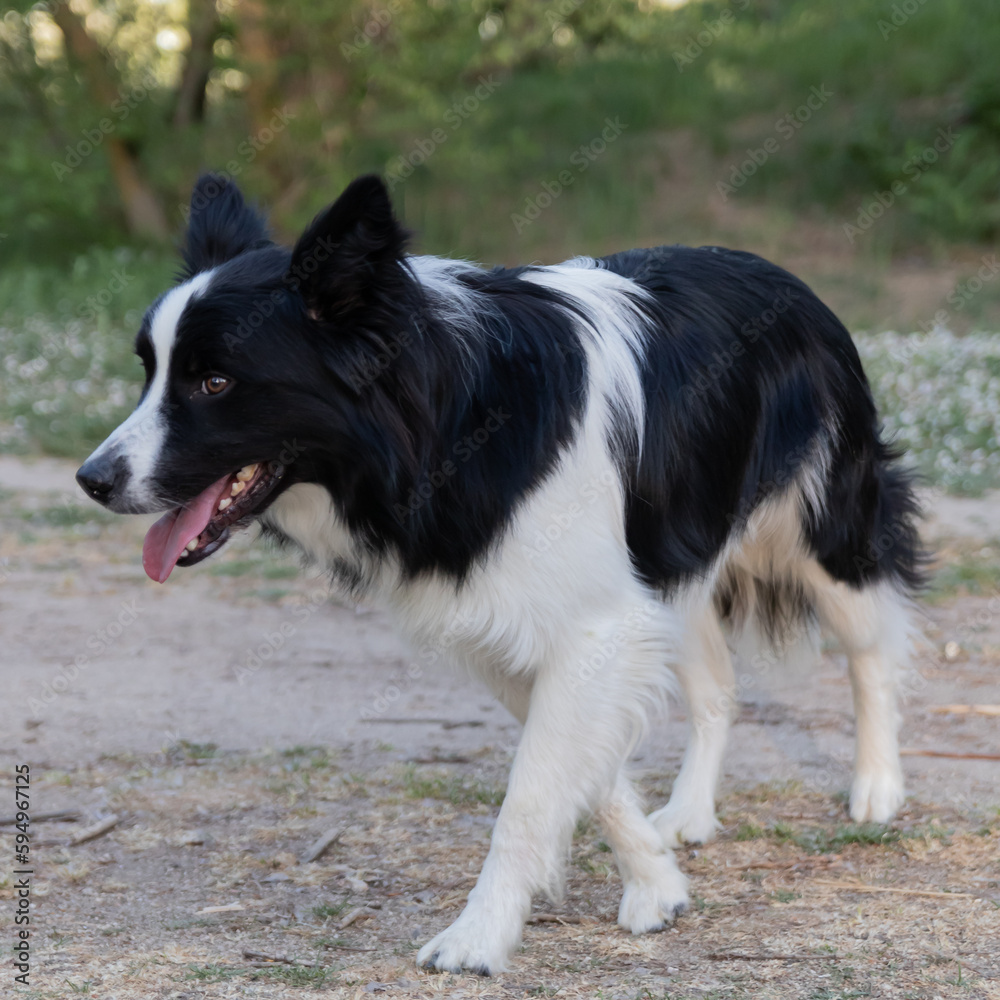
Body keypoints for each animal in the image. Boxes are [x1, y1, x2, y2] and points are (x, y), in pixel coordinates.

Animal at [76, 176, 920, 972]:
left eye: (215, 383)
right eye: (149, 372)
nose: (92, 479)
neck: (449, 416)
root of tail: (783, 276)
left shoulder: (592, 628)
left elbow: (531, 798)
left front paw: (478, 939)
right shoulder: (532, 630)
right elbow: (592, 774)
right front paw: (657, 882)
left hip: (823, 531)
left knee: (872, 646)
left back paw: (878, 787)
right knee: (716, 687)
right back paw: (690, 813)